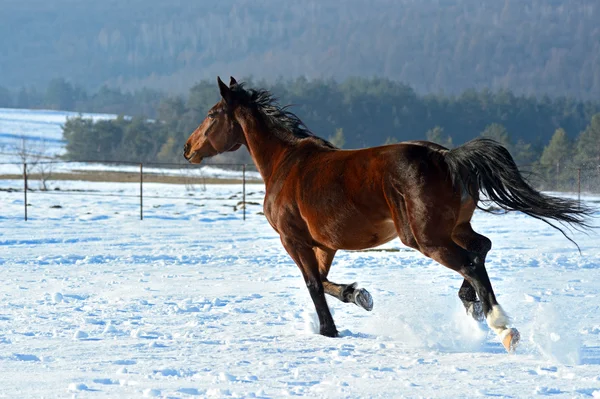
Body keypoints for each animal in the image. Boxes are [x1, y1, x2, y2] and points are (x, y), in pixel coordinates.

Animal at [182, 77, 592, 354]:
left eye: (212, 113)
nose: (188, 148)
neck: (285, 164)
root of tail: (446, 157)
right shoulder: (324, 244)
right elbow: (325, 281)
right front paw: (359, 294)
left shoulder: (293, 239)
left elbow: (312, 283)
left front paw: (329, 331)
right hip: (454, 228)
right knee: (481, 248)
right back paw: (472, 305)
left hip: (425, 238)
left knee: (471, 262)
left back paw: (501, 326)